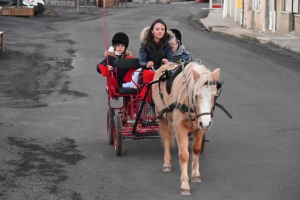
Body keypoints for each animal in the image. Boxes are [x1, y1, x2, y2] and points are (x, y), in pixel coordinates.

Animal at [152, 61, 220, 195]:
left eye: (214, 96)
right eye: (196, 96)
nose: (206, 123)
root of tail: (164, 65)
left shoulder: (200, 127)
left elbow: (196, 149)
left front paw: (195, 174)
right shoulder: (180, 126)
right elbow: (184, 155)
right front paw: (184, 185)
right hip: (161, 114)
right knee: (166, 136)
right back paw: (167, 163)